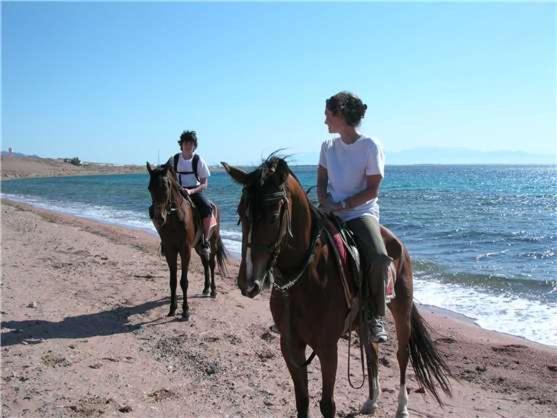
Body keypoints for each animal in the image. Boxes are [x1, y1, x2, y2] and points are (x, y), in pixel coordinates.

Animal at [148, 162, 228, 318]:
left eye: (165, 186)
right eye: (149, 188)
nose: (158, 218)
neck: (174, 217)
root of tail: (214, 205)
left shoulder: (185, 250)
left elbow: (184, 281)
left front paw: (185, 310)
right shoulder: (170, 250)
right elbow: (173, 281)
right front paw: (172, 308)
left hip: (213, 241)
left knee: (211, 264)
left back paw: (213, 290)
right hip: (198, 246)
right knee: (205, 264)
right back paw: (206, 288)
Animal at [222, 157, 452, 418]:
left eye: (272, 216)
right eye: (241, 213)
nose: (248, 283)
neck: (303, 279)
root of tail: (396, 242)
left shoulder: (327, 348)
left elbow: (326, 404)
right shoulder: (290, 346)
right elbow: (302, 401)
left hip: (401, 310)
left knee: (402, 355)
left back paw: (402, 407)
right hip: (363, 321)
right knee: (372, 352)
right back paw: (372, 401)